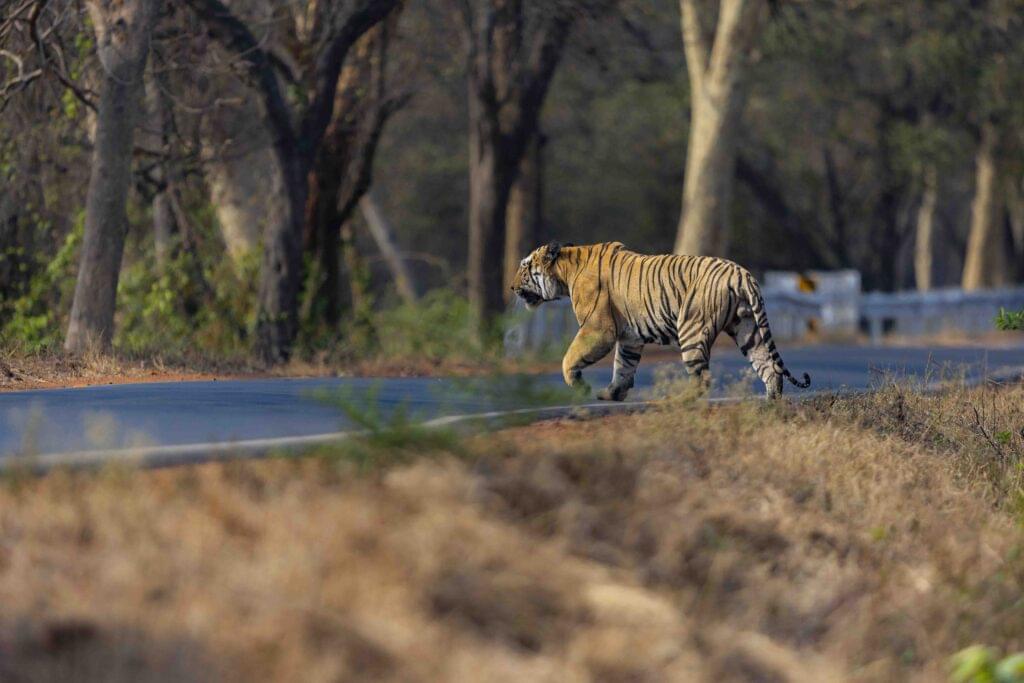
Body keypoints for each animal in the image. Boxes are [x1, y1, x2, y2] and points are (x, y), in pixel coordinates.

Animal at [510, 241, 811, 400]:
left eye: (524, 267)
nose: (511, 288)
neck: (565, 272)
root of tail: (742, 273)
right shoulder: (629, 337)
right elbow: (623, 366)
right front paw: (611, 394)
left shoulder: (598, 329)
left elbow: (569, 358)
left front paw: (580, 387)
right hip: (747, 328)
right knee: (768, 366)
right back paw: (770, 401)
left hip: (692, 329)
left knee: (702, 378)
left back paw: (685, 400)